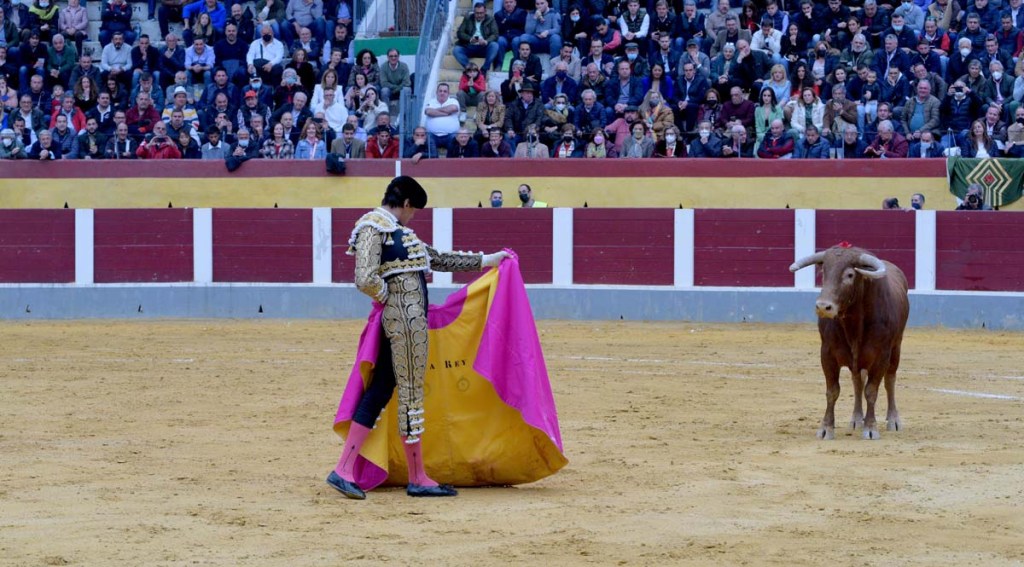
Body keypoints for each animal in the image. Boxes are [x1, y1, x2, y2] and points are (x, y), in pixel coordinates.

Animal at [790, 243, 910, 441]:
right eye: (824, 271)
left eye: (850, 275)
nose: (823, 307)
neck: (853, 324)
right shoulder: (827, 354)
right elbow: (832, 391)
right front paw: (826, 428)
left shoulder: (881, 356)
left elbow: (872, 390)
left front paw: (871, 428)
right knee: (857, 381)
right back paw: (856, 418)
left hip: (897, 347)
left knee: (890, 379)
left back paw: (894, 420)